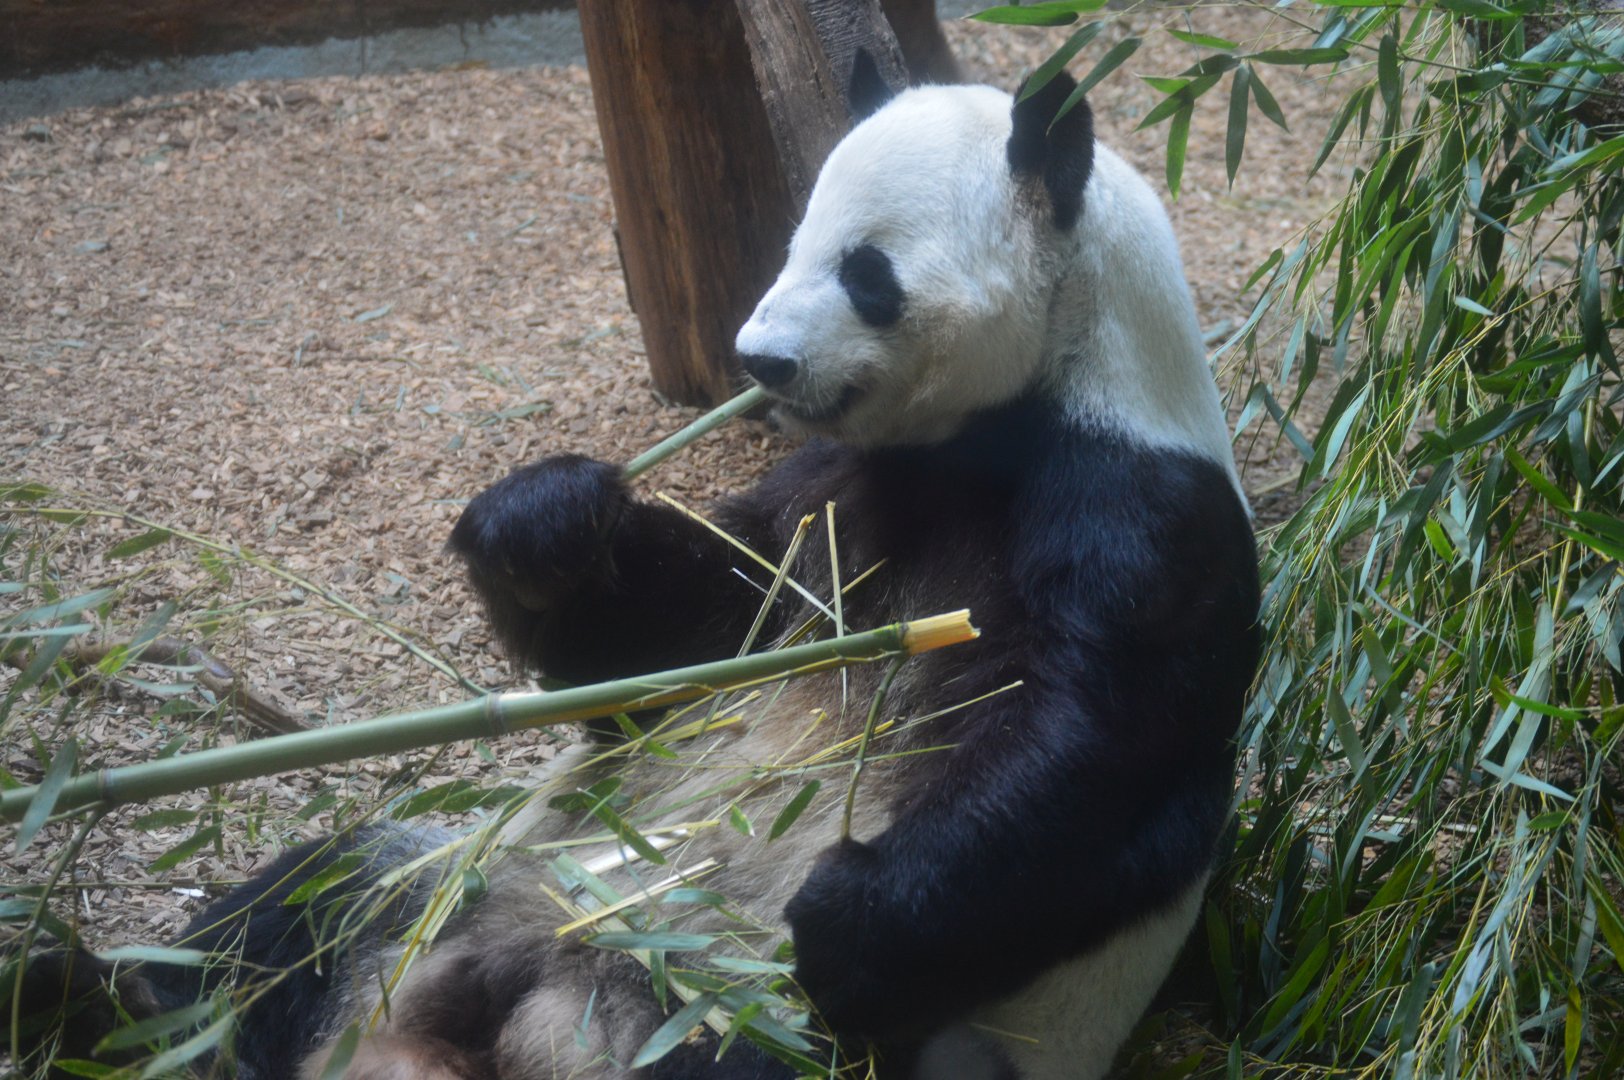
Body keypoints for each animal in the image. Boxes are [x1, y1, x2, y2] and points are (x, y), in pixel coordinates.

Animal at [18, 72, 1259, 1080]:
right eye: (790, 242)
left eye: (864, 271)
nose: (759, 359)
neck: (1027, 400)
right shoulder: (834, 494)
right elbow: (685, 641)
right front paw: (543, 525)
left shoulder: (1137, 508)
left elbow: (1086, 752)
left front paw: (849, 915)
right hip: (473, 878)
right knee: (310, 905)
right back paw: (84, 1001)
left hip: (757, 1023)